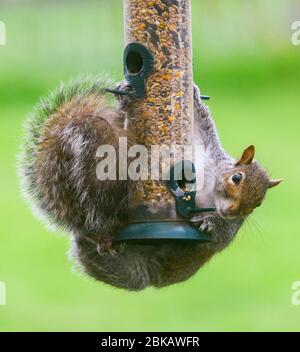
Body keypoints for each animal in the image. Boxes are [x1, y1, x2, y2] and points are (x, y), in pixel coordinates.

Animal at [19, 77, 282, 292]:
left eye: (258, 203)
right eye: (237, 177)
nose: (231, 211)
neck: (209, 191)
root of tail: (152, 279)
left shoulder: (231, 227)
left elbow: (221, 236)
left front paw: (209, 223)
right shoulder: (205, 149)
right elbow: (202, 122)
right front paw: (194, 94)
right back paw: (97, 237)